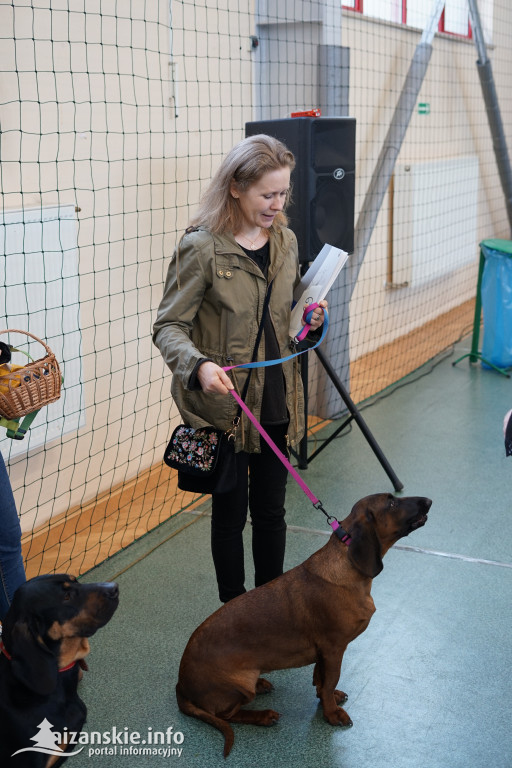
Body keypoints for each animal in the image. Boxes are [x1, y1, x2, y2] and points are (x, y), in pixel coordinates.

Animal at [177, 492, 432, 756]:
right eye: (392, 503)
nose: (428, 502)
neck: (346, 569)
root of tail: (180, 686)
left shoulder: (324, 653)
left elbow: (322, 680)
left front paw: (327, 698)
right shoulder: (333, 649)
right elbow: (330, 680)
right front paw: (331, 713)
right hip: (241, 687)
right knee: (228, 715)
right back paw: (263, 715)